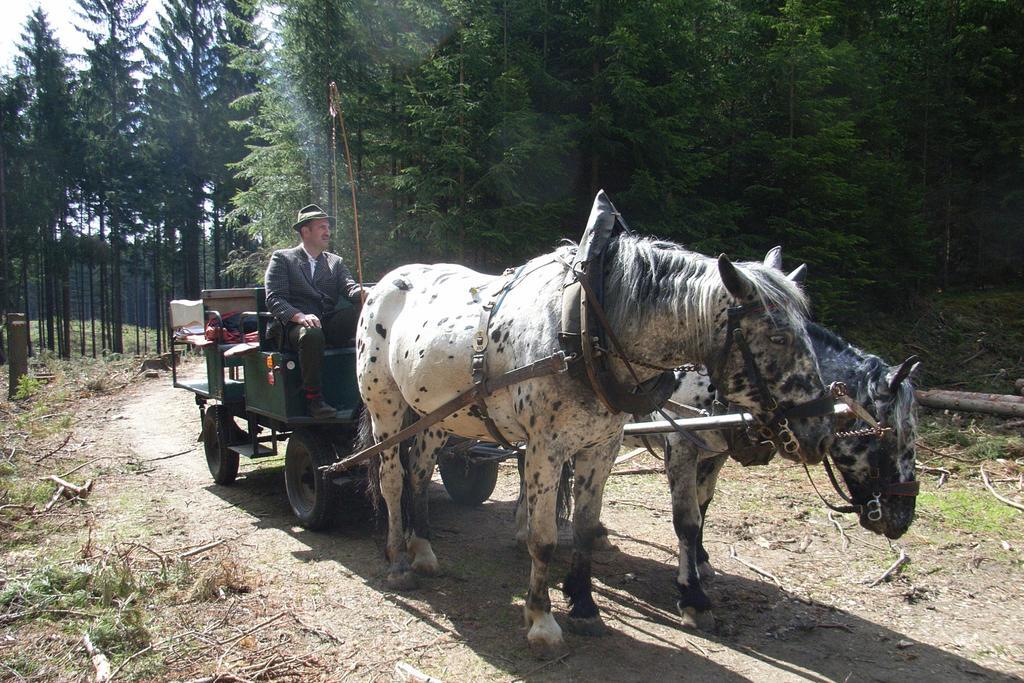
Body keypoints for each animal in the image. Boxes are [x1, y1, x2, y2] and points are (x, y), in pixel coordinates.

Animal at [356, 192, 835, 655]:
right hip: (386, 408)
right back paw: (398, 560)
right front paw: (542, 619)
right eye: (777, 336)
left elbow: (587, 527)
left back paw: (423, 549)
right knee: (393, 478)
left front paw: (585, 606)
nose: (819, 432)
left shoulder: (602, 445)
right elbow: (546, 536)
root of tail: (381, 283)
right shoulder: (548, 449)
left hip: (437, 414)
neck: (586, 326)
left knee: (419, 470)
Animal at [630, 317, 921, 630]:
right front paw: (693, 598)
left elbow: (703, 505)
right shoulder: (681, 443)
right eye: (894, 435)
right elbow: (687, 520)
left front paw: (700, 559)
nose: (903, 520)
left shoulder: (714, 452)